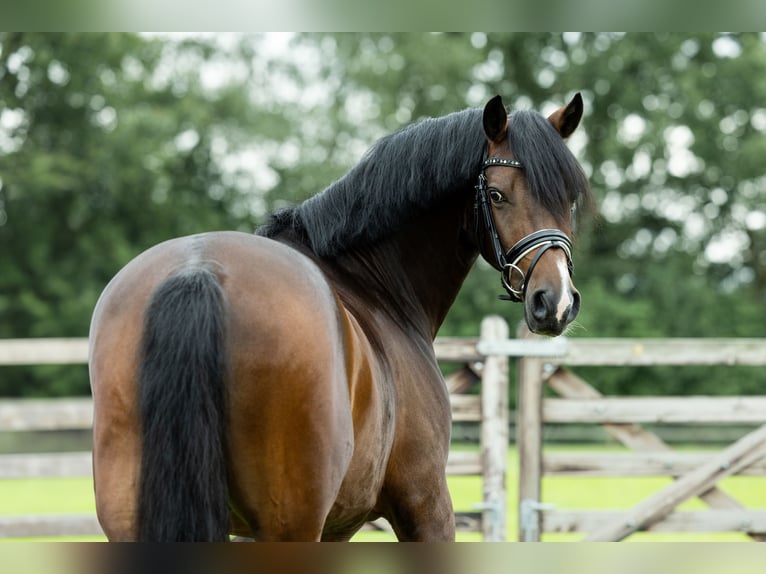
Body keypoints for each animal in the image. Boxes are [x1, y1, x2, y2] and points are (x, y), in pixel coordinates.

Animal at [90, 92, 592, 544]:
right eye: (497, 195)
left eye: (569, 199)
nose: (555, 302)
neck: (372, 282)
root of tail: (200, 269)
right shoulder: (426, 502)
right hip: (292, 524)